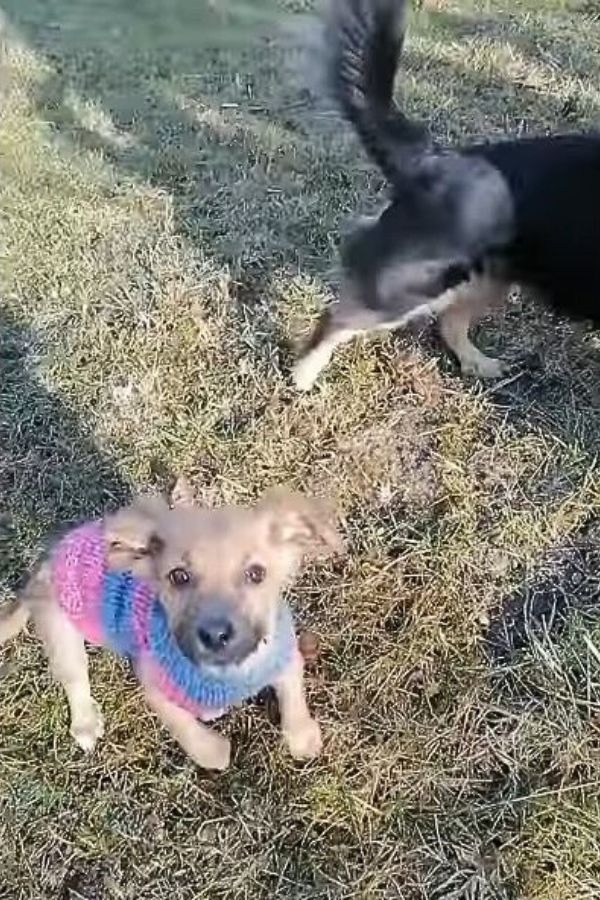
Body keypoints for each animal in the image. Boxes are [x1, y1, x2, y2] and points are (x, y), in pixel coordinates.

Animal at [0, 488, 342, 768]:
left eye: (256, 573)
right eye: (179, 576)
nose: (215, 635)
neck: (230, 673)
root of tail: (48, 557)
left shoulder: (286, 654)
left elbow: (294, 700)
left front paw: (303, 737)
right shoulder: (153, 683)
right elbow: (187, 730)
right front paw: (215, 751)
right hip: (62, 632)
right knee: (74, 678)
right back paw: (85, 722)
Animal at [292, 0, 600, 390]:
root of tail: (432, 159)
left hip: (485, 276)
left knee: (450, 322)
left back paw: (477, 362)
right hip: (411, 284)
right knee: (337, 318)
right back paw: (302, 377)